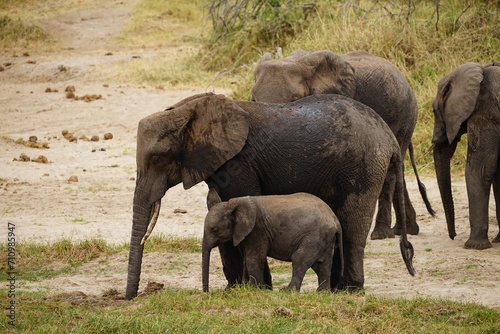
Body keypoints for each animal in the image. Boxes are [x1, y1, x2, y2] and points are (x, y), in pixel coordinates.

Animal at [201, 189, 342, 294]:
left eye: (214, 229)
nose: (207, 293)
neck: (232, 204)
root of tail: (335, 220)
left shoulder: (257, 230)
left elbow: (254, 258)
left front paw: (257, 291)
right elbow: (246, 258)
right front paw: (246, 288)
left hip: (314, 236)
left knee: (299, 259)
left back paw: (288, 292)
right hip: (324, 237)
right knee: (323, 264)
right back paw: (322, 293)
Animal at [252, 49, 436, 240]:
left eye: (294, 98)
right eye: (253, 99)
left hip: (405, 116)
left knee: (390, 173)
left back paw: (381, 234)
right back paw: (404, 230)